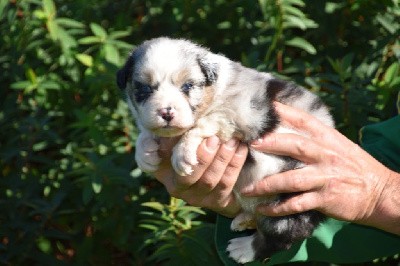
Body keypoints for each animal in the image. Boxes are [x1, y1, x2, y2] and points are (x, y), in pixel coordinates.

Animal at [115, 38, 334, 264]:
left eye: (187, 86)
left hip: (290, 199)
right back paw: (244, 220)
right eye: (145, 88)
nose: (166, 112)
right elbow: (146, 132)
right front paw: (144, 153)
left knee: (282, 235)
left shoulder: (240, 114)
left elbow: (204, 122)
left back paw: (244, 248)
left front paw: (182, 152)